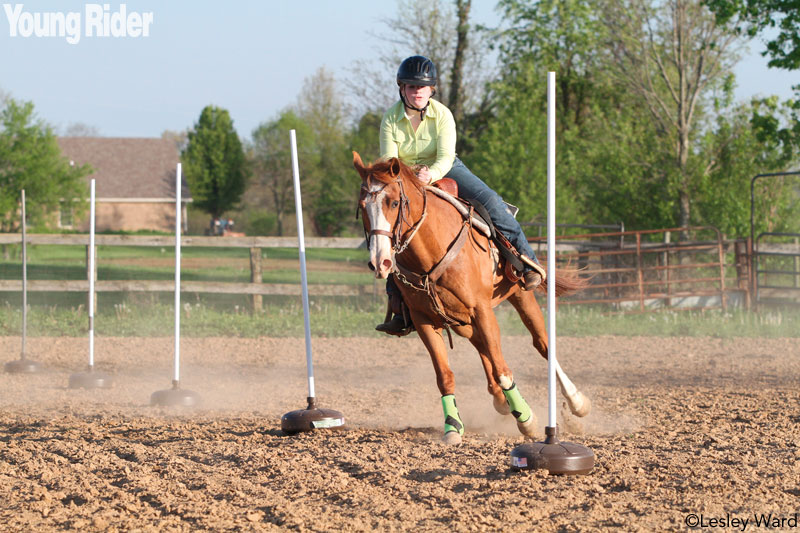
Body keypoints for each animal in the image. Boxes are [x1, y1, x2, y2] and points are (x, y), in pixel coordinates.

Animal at [354, 152, 592, 442]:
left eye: (394, 202)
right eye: (363, 206)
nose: (381, 261)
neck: (431, 251)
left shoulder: (482, 310)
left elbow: (503, 370)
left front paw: (527, 419)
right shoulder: (424, 321)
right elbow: (445, 375)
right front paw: (453, 427)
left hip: (519, 296)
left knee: (542, 344)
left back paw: (576, 401)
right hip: (461, 321)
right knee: (482, 346)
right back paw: (501, 401)